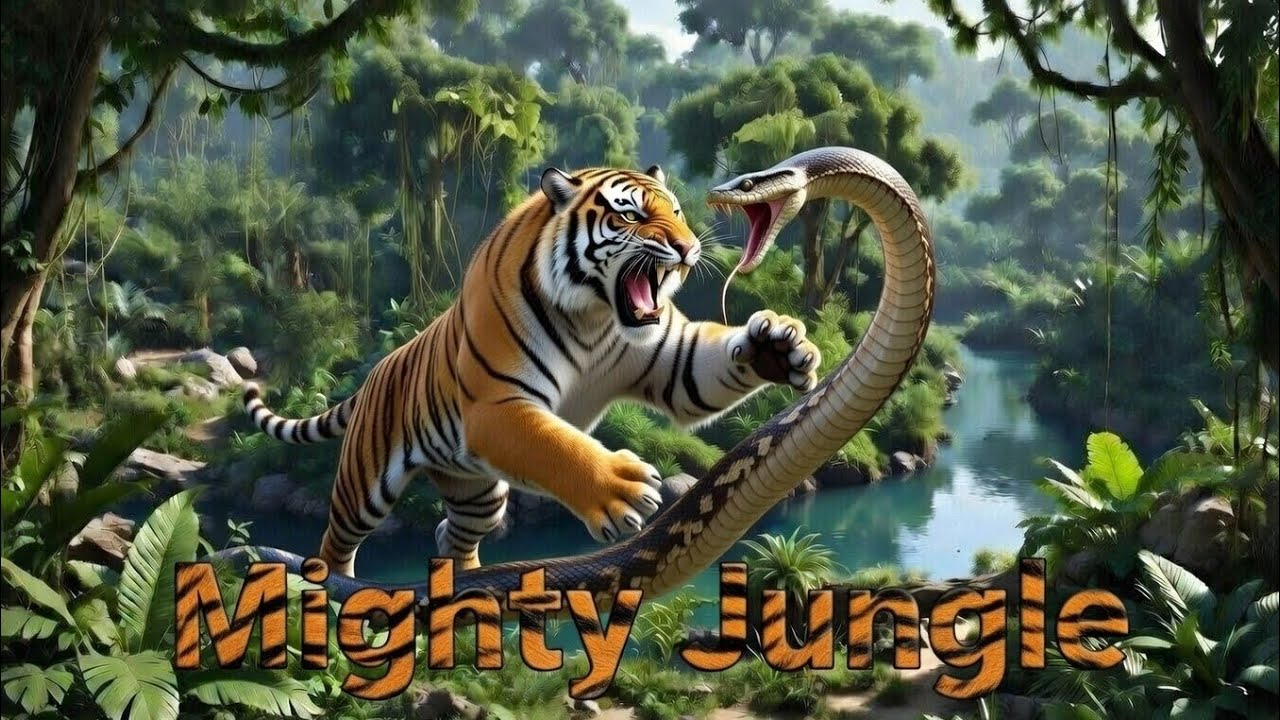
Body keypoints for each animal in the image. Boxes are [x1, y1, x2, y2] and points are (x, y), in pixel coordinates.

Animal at [242, 164, 823, 578]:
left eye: (677, 212)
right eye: (632, 216)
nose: (686, 248)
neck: (595, 316)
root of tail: (376, 371)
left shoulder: (675, 363)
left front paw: (778, 345)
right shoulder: (497, 405)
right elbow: (555, 446)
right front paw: (622, 488)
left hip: (478, 493)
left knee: (451, 534)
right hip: (363, 488)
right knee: (334, 541)